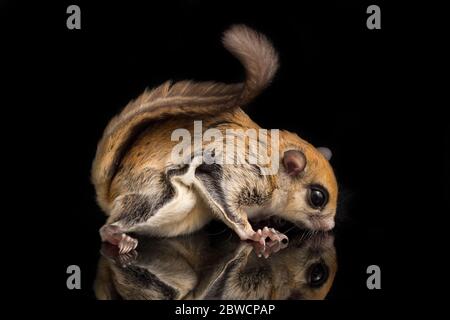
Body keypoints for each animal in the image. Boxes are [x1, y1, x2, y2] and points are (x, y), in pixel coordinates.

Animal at [91, 25, 338, 254]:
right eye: (318, 197)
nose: (330, 226)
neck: (275, 171)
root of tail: (110, 192)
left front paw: (271, 222)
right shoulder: (234, 172)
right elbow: (227, 202)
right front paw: (257, 234)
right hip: (156, 195)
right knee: (107, 227)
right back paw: (118, 237)